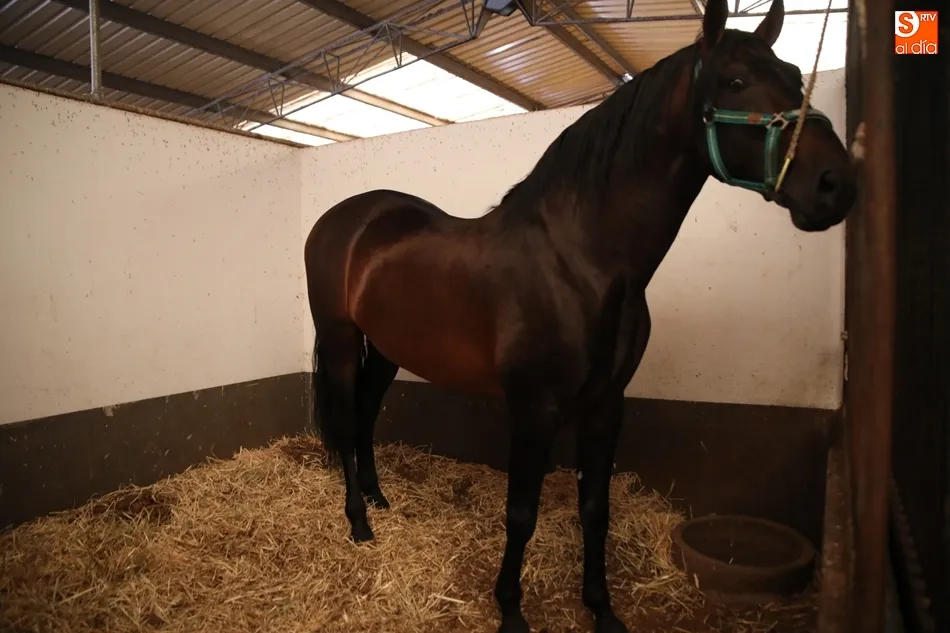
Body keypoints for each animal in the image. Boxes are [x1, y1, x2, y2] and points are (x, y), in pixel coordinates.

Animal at [303, 0, 856, 631]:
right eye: (735, 81)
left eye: (793, 73)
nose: (835, 184)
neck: (582, 261)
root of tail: (342, 219)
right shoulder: (534, 409)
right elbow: (521, 513)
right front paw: (511, 611)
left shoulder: (606, 405)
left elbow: (596, 508)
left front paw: (602, 609)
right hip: (341, 342)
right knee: (347, 421)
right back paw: (359, 522)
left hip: (387, 349)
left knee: (365, 417)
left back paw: (377, 499)